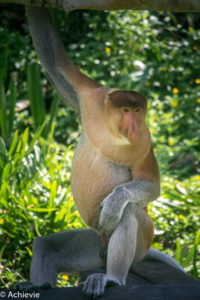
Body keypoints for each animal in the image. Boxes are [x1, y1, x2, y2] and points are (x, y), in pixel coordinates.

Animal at [17, 5, 184, 298]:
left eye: (138, 111)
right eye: (126, 110)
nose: (132, 127)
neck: (111, 129)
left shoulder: (145, 142)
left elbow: (151, 185)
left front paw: (115, 202)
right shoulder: (90, 97)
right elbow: (54, 63)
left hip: (143, 238)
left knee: (129, 214)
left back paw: (112, 278)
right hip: (92, 242)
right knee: (46, 246)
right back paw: (39, 284)